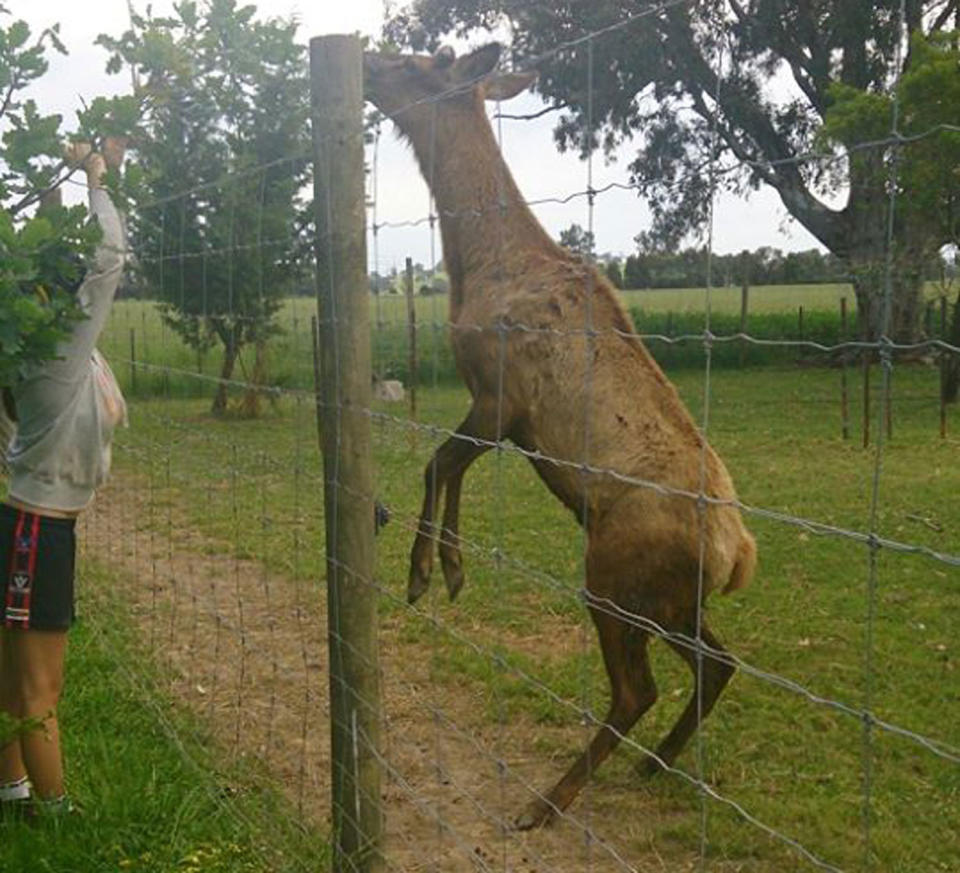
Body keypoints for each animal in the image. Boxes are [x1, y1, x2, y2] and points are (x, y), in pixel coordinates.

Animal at [362, 42, 756, 832]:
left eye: (420, 62)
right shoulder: (502, 414)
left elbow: (436, 462)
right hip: (672, 600)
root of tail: (737, 557)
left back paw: (548, 801)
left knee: (638, 689)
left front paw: (427, 573)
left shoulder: (503, 397)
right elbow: (449, 467)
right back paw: (654, 763)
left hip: (613, 572)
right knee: (719, 662)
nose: (363, 60)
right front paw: (452, 568)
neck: (475, 269)